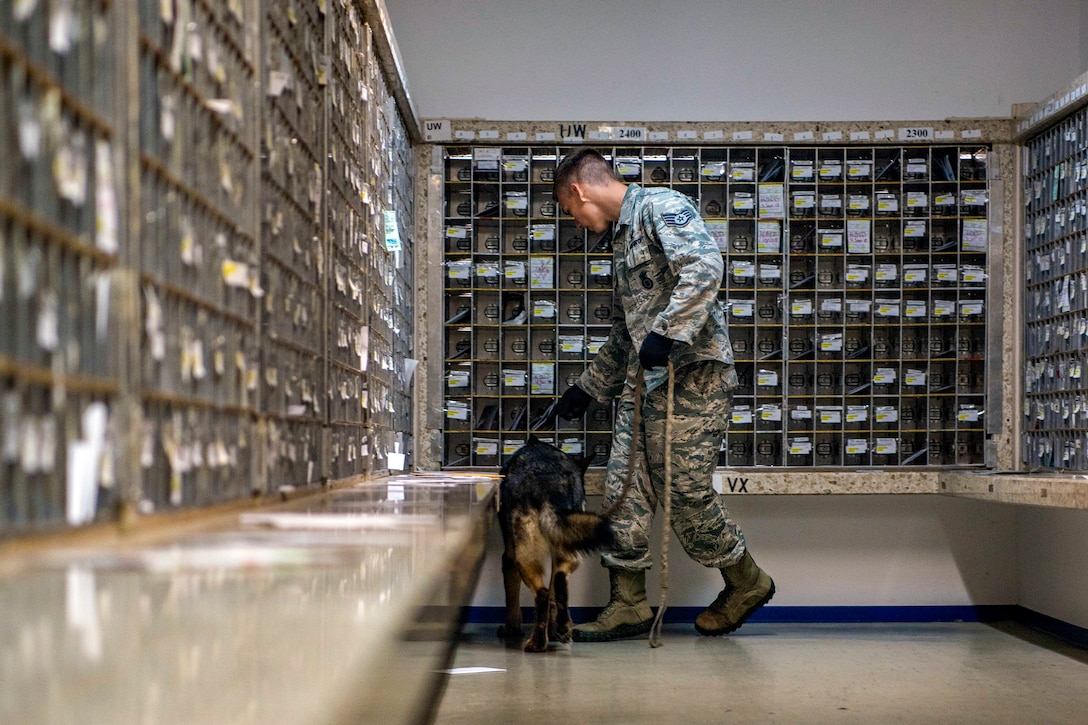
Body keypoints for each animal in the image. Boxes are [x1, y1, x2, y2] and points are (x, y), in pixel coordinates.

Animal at [498, 435, 617, 648]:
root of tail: (550, 483)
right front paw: (554, 630)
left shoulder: (509, 557)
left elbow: (512, 598)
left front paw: (511, 629)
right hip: (566, 547)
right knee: (557, 584)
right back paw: (561, 627)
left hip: (524, 555)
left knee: (543, 594)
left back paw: (537, 643)